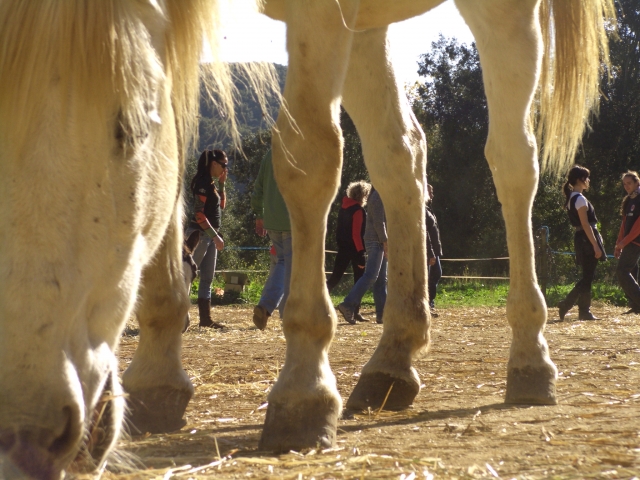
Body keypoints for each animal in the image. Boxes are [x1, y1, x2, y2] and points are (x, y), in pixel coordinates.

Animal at [0, 0, 614, 478]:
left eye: (129, 129)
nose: (27, 437)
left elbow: (307, 159)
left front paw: (305, 389)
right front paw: (158, 376)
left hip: (502, 17)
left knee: (513, 162)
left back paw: (530, 359)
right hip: (368, 27)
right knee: (401, 156)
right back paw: (392, 362)